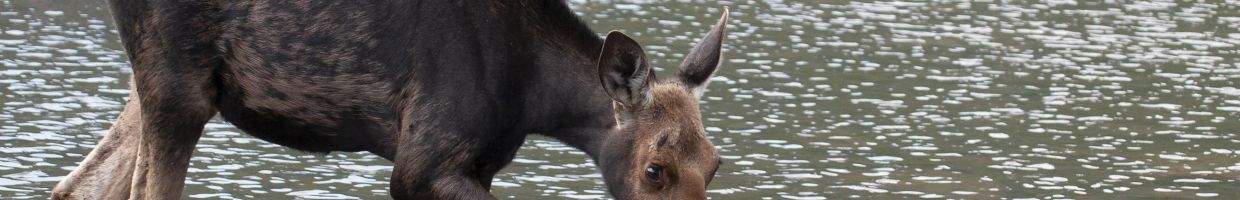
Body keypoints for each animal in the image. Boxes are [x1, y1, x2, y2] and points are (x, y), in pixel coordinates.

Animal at [55, 0, 724, 198]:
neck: (533, 97)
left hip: (153, 87)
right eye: (654, 169)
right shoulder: (421, 161)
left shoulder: (474, 164)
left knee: (80, 185)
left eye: (716, 165)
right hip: (178, 87)